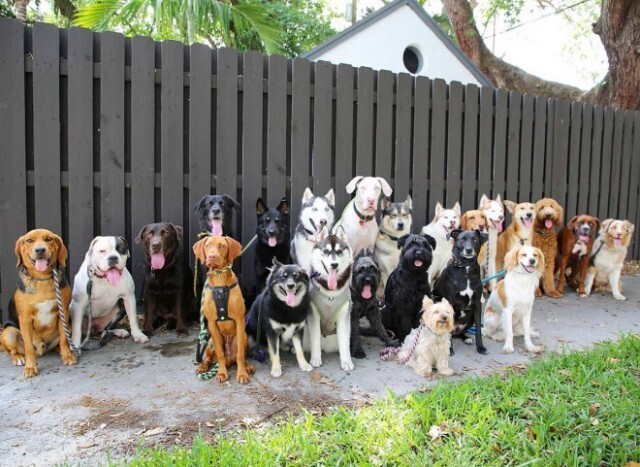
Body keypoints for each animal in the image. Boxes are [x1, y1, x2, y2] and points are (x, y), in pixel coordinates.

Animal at [0, 229, 77, 378]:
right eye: (29, 240)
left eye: (49, 239)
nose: (40, 249)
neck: (42, 278)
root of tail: (42, 350)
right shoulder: (25, 319)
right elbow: (29, 347)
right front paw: (30, 367)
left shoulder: (63, 312)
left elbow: (64, 339)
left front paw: (67, 356)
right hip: (8, 332)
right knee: (12, 351)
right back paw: (18, 357)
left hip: (70, 324)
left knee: (60, 342)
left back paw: (62, 351)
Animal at [191, 236, 254, 386]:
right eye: (207, 245)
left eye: (222, 246)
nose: (212, 256)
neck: (220, 281)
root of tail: (229, 360)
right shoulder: (211, 323)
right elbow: (219, 354)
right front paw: (221, 373)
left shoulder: (239, 320)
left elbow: (240, 355)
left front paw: (242, 374)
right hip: (211, 342)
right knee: (209, 358)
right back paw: (203, 366)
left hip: (243, 337)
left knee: (238, 356)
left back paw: (247, 366)